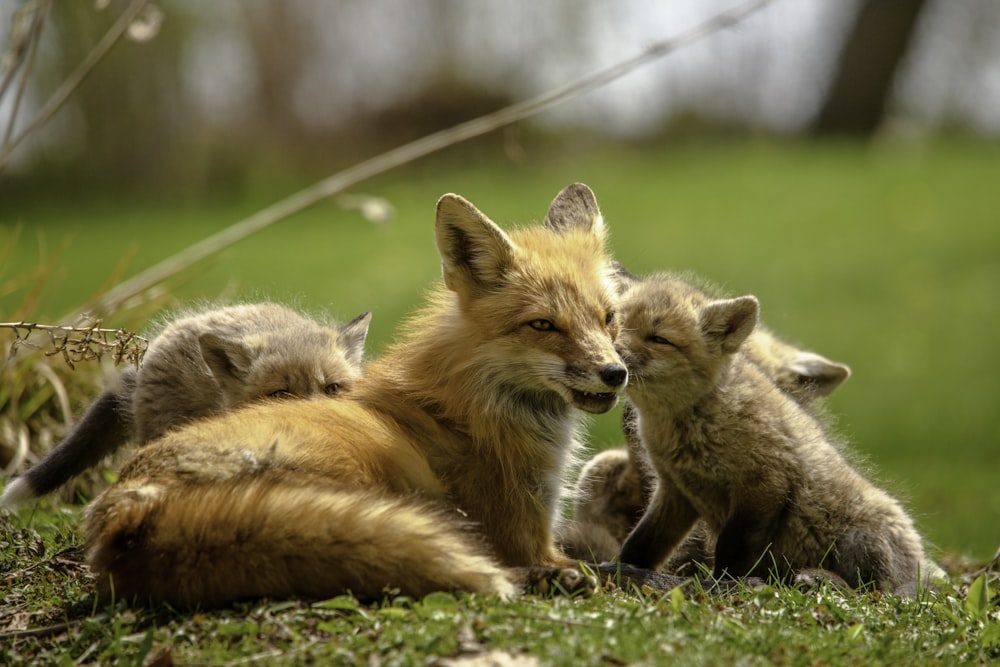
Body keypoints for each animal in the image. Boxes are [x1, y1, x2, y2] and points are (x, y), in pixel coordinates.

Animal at [84, 181, 624, 604]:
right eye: (543, 325)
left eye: (609, 318)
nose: (615, 373)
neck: (474, 404)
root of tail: (125, 512)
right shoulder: (524, 534)